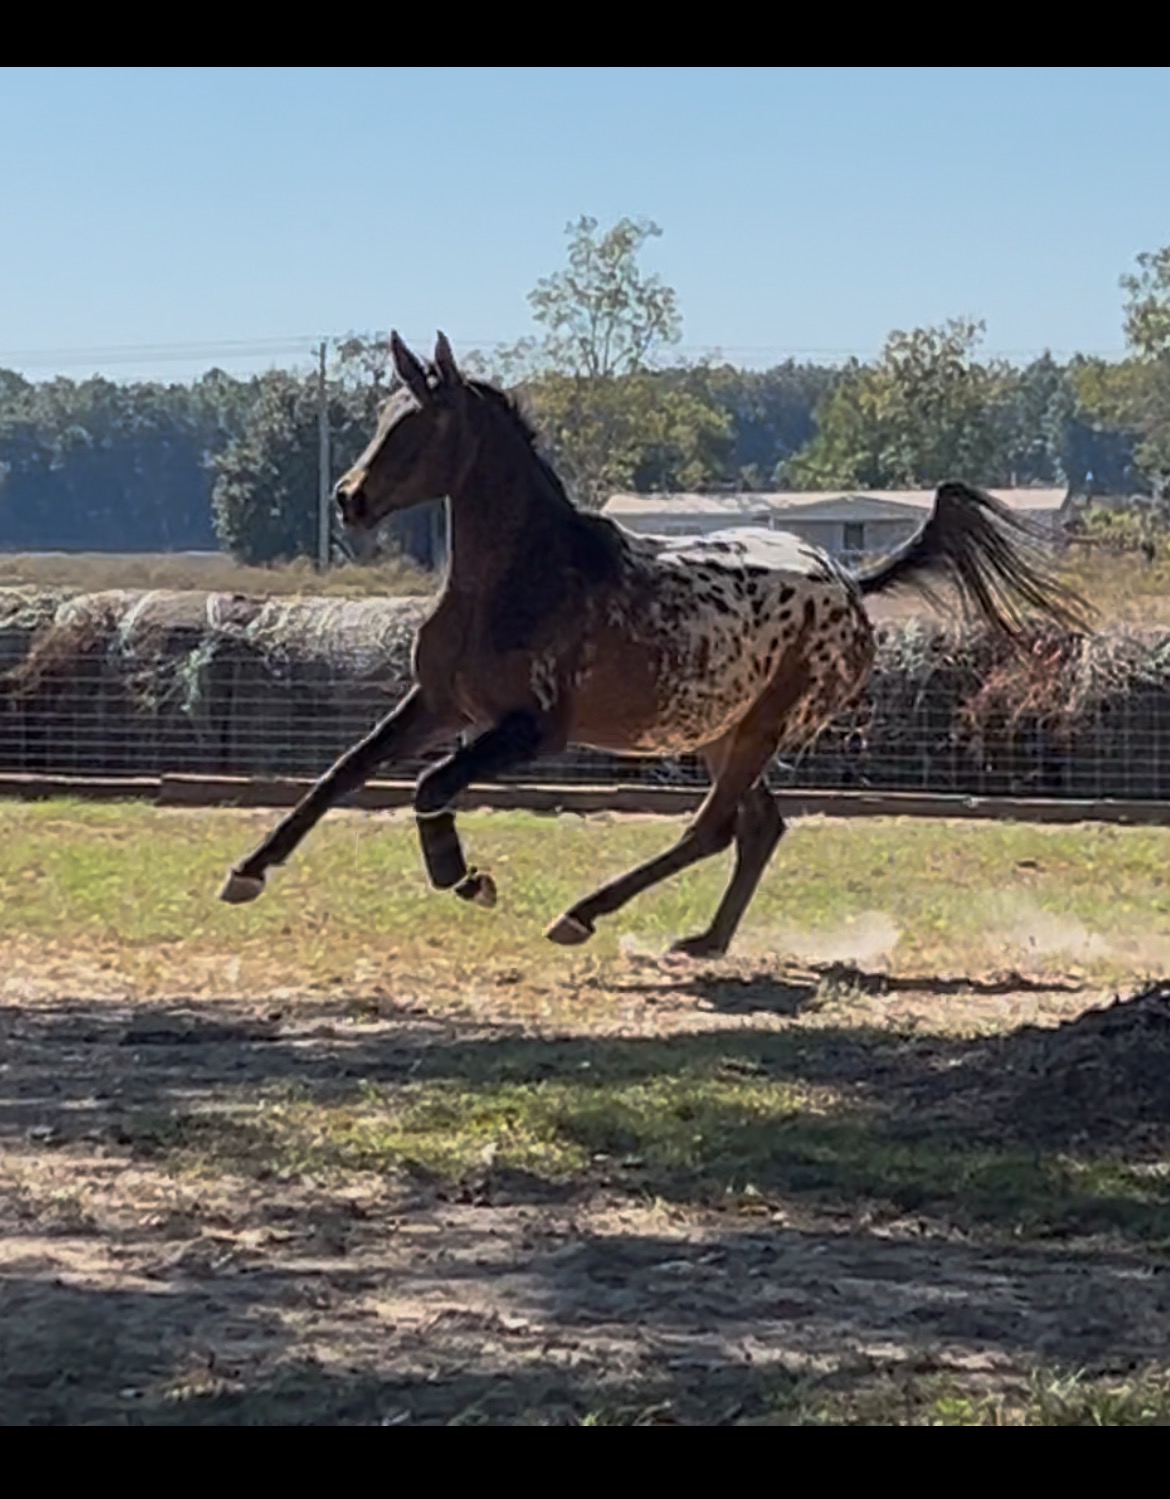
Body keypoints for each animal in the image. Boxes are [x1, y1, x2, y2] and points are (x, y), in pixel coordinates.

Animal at [218, 332, 1089, 957]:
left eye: (416, 426)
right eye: (377, 422)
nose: (348, 499)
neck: (518, 576)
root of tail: (848, 579)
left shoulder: (531, 730)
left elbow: (431, 784)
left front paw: (464, 877)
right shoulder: (438, 704)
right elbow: (342, 772)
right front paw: (249, 871)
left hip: (764, 726)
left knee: (713, 828)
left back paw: (583, 914)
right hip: (720, 731)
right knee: (757, 829)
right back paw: (705, 939)